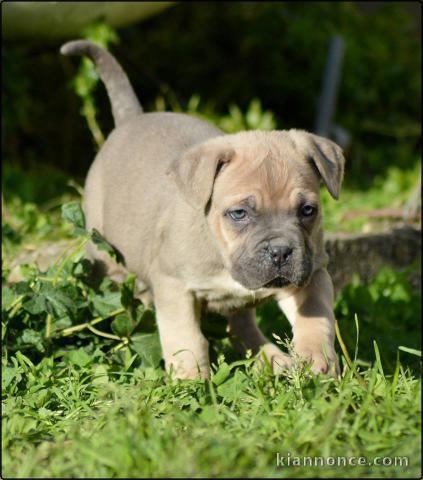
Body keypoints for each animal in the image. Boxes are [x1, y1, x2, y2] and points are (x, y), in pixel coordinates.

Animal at [60, 40, 344, 378]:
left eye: (307, 211)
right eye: (239, 214)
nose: (280, 252)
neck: (221, 251)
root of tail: (131, 119)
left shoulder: (312, 272)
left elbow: (316, 315)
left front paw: (316, 357)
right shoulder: (173, 285)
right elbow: (187, 338)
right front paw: (191, 382)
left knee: (241, 326)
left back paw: (271, 360)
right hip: (105, 257)